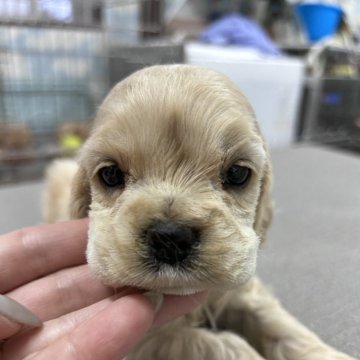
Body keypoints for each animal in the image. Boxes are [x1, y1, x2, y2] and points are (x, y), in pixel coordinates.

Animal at [45, 65, 354, 360]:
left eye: (238, 173)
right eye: (110, 174)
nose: (170, 237)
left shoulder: (243, 290)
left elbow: (280, 326)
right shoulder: (147, 340)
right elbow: (217, 345)